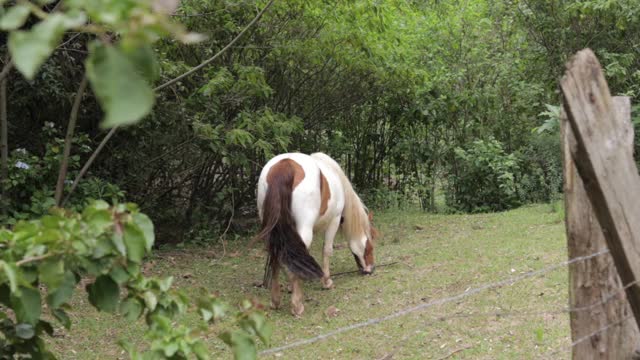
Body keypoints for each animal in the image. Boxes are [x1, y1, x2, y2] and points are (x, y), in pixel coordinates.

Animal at [255, 152, 376, 316]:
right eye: (370, 246)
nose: (371, 268)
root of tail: (284, 165)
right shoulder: (334, 220)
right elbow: (327, 250)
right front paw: (326, 281)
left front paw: (293, 285)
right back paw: (297, 305)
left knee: (276, 257)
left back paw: (276, 300)